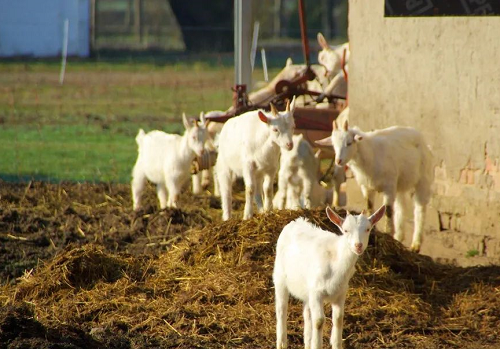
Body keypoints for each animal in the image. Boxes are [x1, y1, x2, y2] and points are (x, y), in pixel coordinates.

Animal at [274, 204, 386, 348]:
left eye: (367, 229)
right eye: (345, 230)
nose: (358, 245)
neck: (336, 260)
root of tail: (296, 221)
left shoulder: (341, 293)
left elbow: (338, 319)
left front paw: (336, 344)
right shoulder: (316, 292)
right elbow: (319, 321)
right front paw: (317, 344)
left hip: (306, 290)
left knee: (307, 313)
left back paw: (307, 342)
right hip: (280, 278)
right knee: (281, 310)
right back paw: (282, 343)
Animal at [316, 119, 434, 250]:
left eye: (349, 143)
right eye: (334, 144)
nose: (338, 161)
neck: (370, 155)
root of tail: (424, 142)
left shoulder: (389, 186)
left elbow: (387, 210)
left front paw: (387, 233)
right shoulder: (366, 187)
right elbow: (369, 206)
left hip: (423, 179)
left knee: (420, 209)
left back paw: (416, 244)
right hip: (399, 183)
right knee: (400, 207)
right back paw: (399, 237)